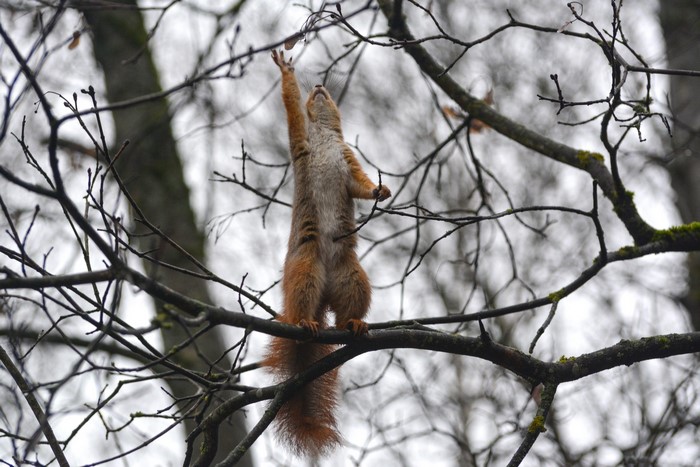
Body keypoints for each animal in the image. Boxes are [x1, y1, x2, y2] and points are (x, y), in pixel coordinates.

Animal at [264, 49, 391, 458]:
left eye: (331, 97)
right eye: (310, 94)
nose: (319, 85)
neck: (323, 136)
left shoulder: (349, 162)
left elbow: (361, 186)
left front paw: (382, 191)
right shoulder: (300, 141)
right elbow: (290, 108)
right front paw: (286, 73)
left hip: (352, 277)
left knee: (349, 307)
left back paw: (354, 324)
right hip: (306, 270)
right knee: (304, 303)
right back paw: (306, 323)